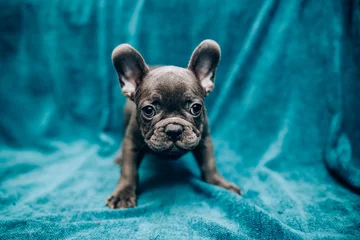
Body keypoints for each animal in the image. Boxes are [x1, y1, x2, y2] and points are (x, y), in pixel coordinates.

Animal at [107, 39, 242, 208]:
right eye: (148, 110)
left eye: (196, 108)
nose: (173, 129)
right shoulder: (132, 143)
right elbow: (128, 170)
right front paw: (123, 194)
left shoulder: (204, 139)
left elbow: (209, 164)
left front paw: (219, 183)